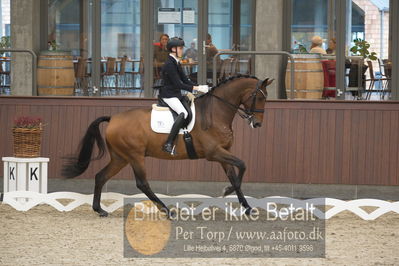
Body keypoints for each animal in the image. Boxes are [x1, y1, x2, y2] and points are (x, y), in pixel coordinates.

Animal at [63, 75, 276, 218]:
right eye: (259, 97)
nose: (257, 124)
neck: (216, 113)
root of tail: (113, 118)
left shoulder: (224, 152)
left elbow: (235, 174)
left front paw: (246, 207)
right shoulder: (214, 153)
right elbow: (242, 165)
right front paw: (228, 192)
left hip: (120, 158)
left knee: (101, 176)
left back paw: (99, 209)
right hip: (135, 156)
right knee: (142, 183)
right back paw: (166, 210)